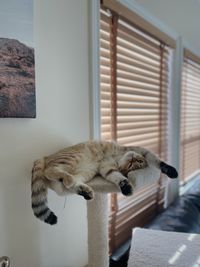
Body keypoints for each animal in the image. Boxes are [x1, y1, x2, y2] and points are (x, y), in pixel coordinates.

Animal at [31, 141, 178, 225]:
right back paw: (70, 180)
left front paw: (125, 186)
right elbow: (158, 161)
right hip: (73, 158)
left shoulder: (107, 169)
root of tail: (45, 156)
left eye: (135, 165)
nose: (133, 159)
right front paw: (171, 171)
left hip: (85, 172)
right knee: (49, 171)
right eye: (138, 162)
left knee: (66, 182)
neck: (117, 159)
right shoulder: (140, 150)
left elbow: (118, 177)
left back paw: (84, 190)